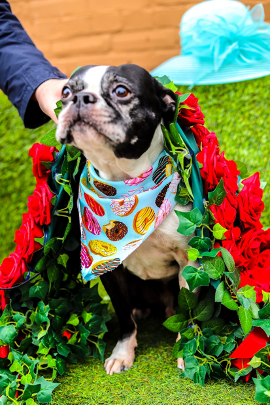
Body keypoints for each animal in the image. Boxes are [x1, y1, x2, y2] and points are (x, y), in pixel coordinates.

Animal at [55, 64, 198, 376]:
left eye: (121, 91)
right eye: (66, 91)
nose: (80, 98)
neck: (124, 184)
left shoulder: (190, 263)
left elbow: (189, 310)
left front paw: (186, 351)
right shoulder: (108, 268)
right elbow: (123, 315)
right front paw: (123, 352)